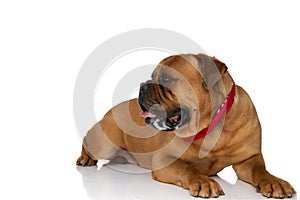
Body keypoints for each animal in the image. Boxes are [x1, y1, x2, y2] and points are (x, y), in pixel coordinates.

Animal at [77, 53, 296, 198]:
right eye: (152, 76)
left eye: (166, 79)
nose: (143, 85)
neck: (211, 125)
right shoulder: (165, 159)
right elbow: (186, 169)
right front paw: (203, 181)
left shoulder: (248, 159)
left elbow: (260, 170)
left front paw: (274, 181)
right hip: (104, 144)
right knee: (87, 141)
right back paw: (85, 158)